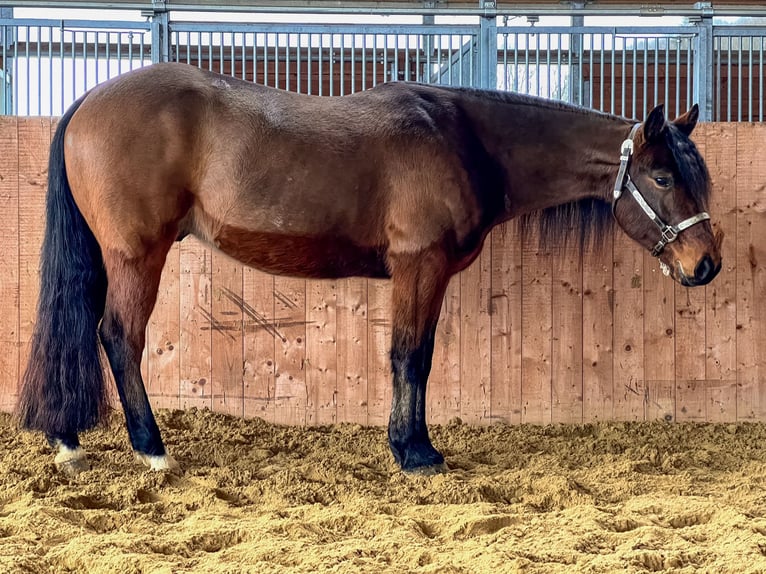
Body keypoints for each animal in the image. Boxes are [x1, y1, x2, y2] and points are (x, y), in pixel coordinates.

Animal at [19, 62, 728, 476]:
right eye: (664, 177)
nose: (706, 264)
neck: (465, 138)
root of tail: (87, 101)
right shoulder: (421, 265)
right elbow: (410, 356)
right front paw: (415, 454)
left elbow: (417, 355)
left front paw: (410, 445)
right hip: (137, 254)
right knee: (119, 337)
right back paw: (152, 450)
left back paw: (70, 439)